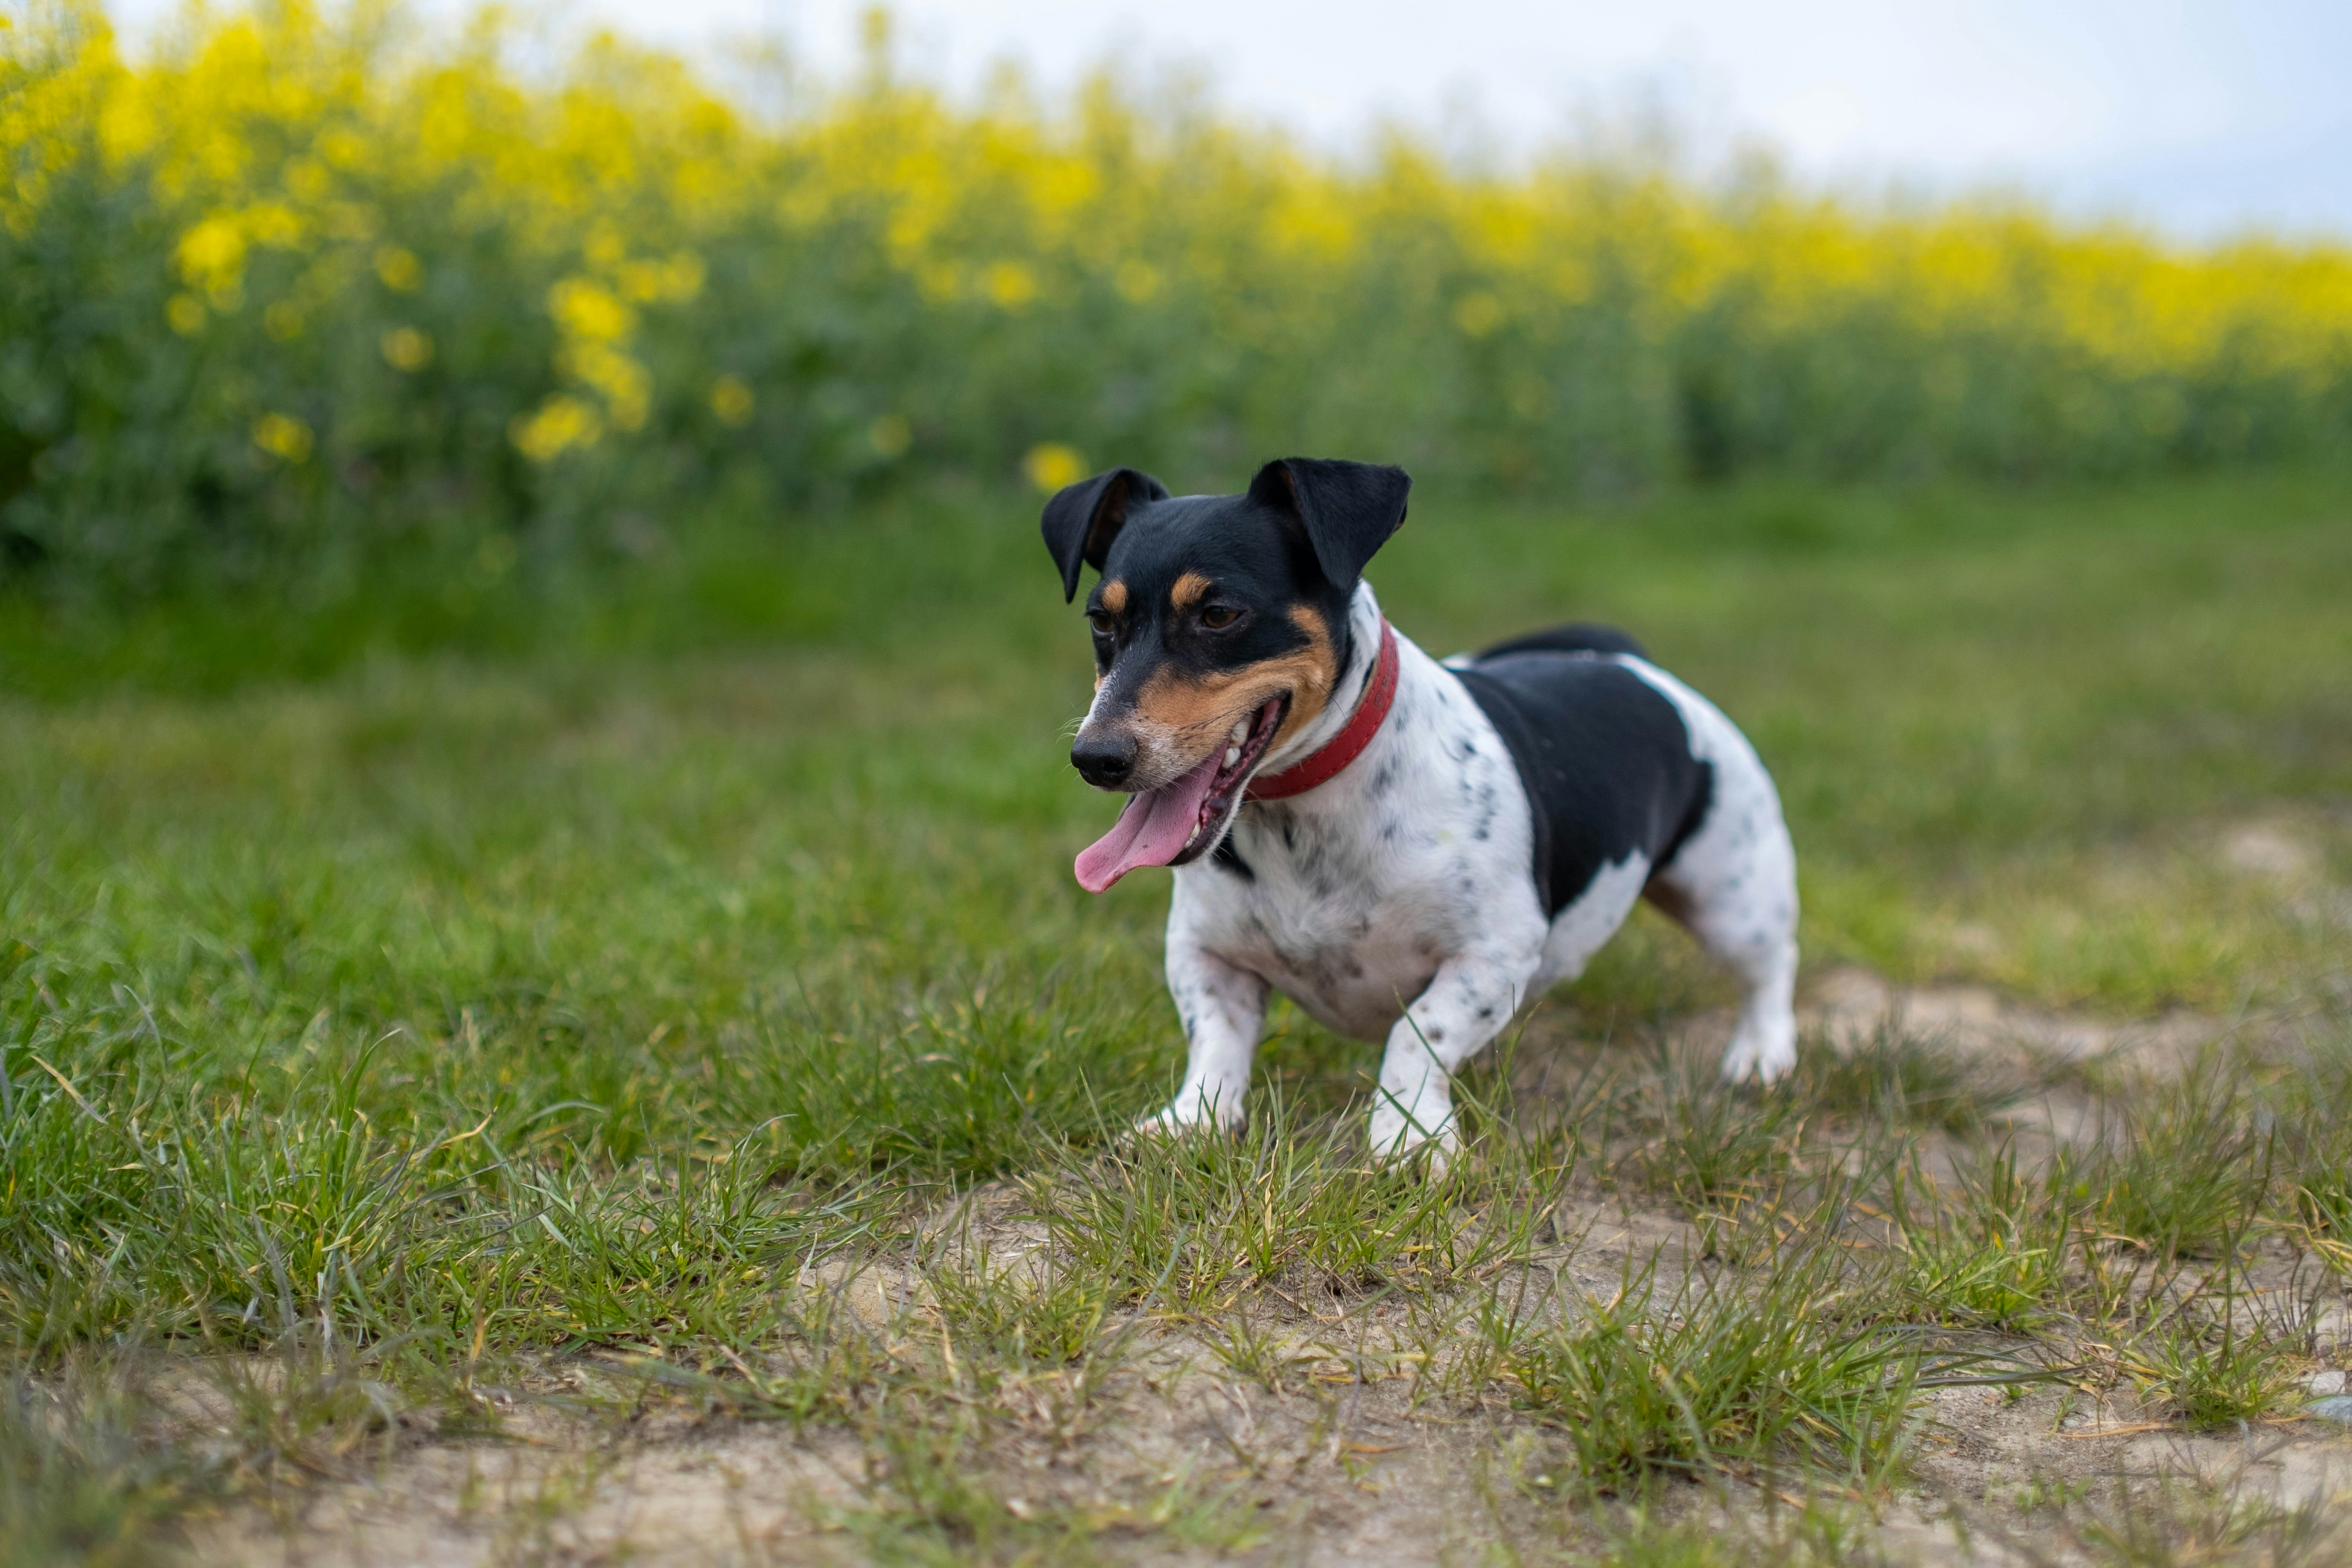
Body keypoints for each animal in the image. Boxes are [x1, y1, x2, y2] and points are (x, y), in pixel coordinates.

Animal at [1049, 456, 1797, 1166]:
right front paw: (1193, 1123)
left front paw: (1409, 1137)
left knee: (1769, 966)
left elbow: (1418, 1033)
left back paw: (1762, 1054)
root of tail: (1630, 662)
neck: (1306, 816)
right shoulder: (1204, 954)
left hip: (1730, 895)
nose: (1096, 757)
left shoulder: (1492, 954)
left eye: (1219, 614)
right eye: (1100, 621)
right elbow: (1216, 1043)